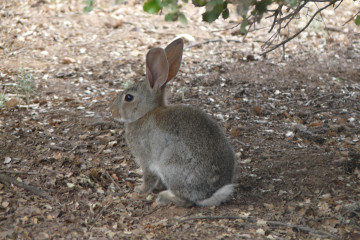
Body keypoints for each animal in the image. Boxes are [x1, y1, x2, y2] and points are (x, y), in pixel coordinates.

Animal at [112, 38, 236, 207]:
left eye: (129, 97)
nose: (112, 111)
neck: (145, 113)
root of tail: (210, 193)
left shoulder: (145, 159)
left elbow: (148, 177)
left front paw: (140, 190)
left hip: (171, 167)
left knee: (186, 201)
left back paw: (164, 197)